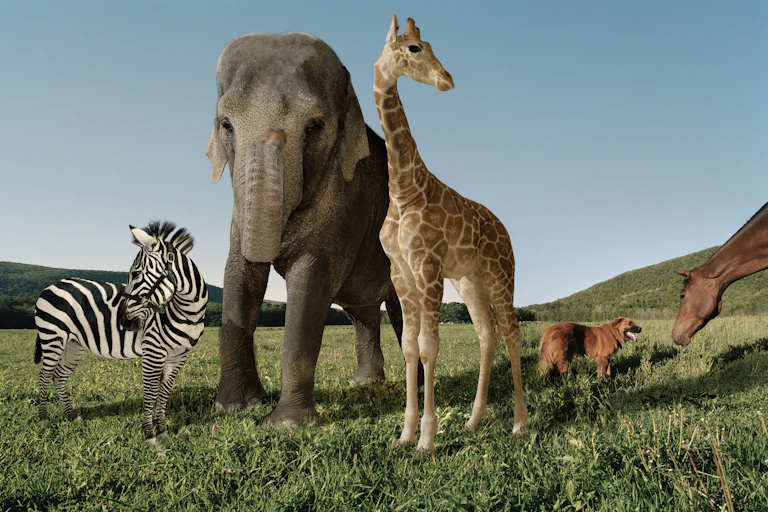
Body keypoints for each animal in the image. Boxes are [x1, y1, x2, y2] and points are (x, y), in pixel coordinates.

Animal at [206, 32, 414, 425]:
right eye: (226, 124)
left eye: (314, 126)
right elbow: (238, 275)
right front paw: (234, 407)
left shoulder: (347, 203)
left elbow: (311, 282)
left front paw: (286, 425)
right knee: (364, 312)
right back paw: (365, 385)